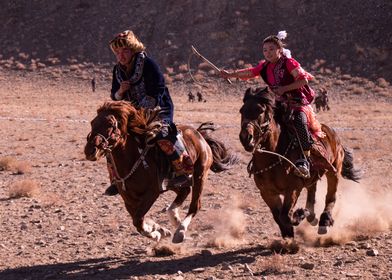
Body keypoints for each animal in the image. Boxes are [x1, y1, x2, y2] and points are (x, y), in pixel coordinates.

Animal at [84, 100, 237, 243]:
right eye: (92, 123)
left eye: (110, 124)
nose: (90, 150)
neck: (134, 160)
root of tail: (200, 135)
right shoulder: (128, 197)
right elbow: (137, 219)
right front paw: (159, 230)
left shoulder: (152, 192)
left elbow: (138, 219)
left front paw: (156, 232)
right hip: (174, 182)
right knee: (184, 191)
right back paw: (175, 219)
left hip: (200, 175)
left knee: (195, 205)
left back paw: (180, 231)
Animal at [239, 87, 362, 238]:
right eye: (242, 110)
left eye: (260, 110)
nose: (246, 138)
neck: (273, 159)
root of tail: (333, 134)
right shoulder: (267, 192)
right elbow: (278, 216)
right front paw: (288, 236)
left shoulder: (293, 188)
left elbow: (285, 215)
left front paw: (300, 213)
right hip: (313, 175)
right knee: (312, 190)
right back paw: (312, 216)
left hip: (334, 170)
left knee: (331, 196)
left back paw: (324, 221)